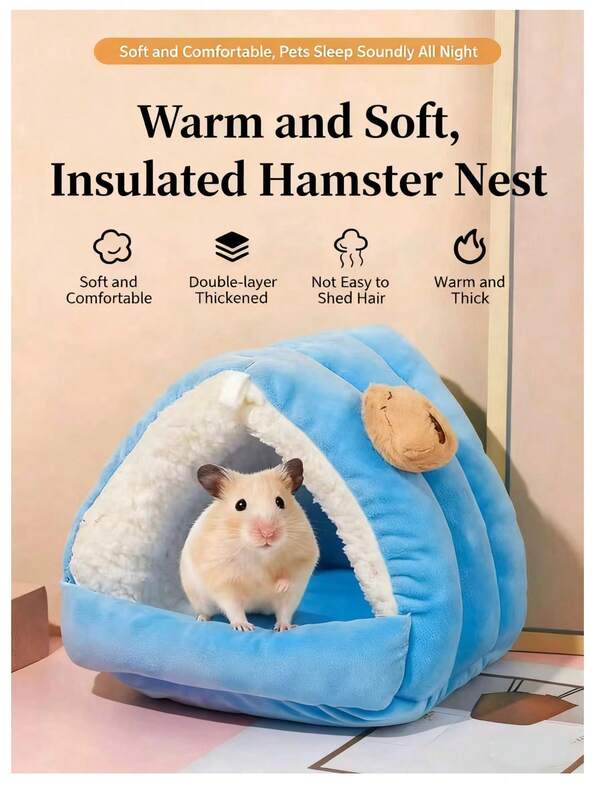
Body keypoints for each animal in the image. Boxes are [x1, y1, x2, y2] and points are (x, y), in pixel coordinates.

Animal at [180, 458, 319, 632]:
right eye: (240, 505)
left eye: (280, 502)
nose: (268, 533)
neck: (260, 554)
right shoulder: (223, 579)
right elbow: (234, 606)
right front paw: (244, 627)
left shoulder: (303, 559)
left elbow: (290, 576)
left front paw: (279, 587)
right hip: (199, 600)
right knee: (206, 611)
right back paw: (202, 619)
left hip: (291, 599)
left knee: (284, 612)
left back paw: (284, 627)